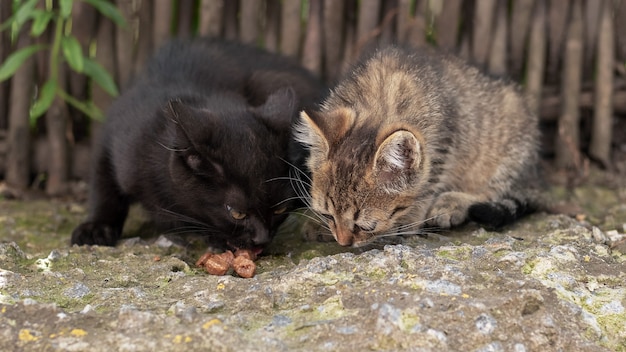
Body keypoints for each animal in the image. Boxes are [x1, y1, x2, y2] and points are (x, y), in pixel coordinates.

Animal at [72, 38, 324, 252]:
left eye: (280, 209)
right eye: (236, 213)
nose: (261, 239)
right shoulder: (115, 136)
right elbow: (103, 185)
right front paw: (96, 228)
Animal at [294, 45, 540, 246]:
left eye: (365, 226)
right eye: (328, 215)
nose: (343, 243)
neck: (379, 106)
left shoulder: (444, 141)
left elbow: (428, 183)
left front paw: (409, 220)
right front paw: (317, 223)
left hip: (510, 145)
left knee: (493, 190)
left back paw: (452, 202)